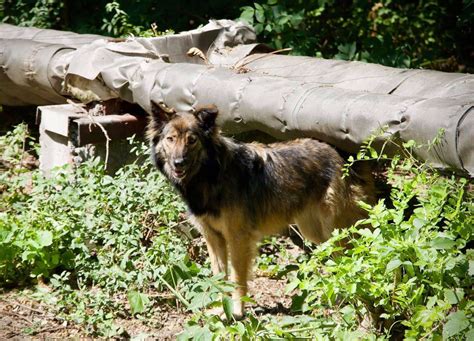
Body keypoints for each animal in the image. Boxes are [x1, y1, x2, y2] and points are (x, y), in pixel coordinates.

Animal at [146, 104, 376, 318]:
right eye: (171, 139)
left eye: (192, 140)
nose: (178, 163)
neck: (210, 174)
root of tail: (341, 157)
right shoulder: (213, 238)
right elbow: (219, 277)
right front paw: (221, 310)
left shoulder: (238, 238)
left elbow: (237, 279)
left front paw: (237, 312)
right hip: (314, 232)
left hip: (335, 232)